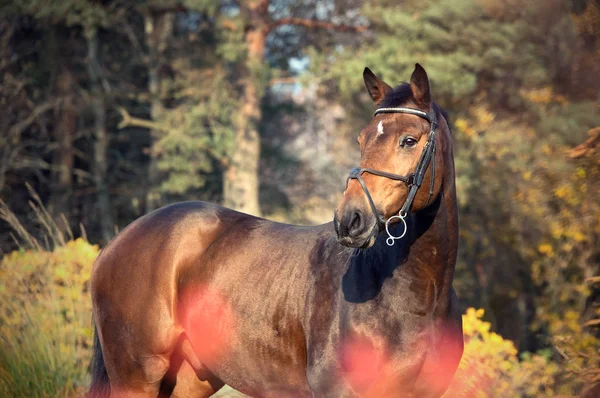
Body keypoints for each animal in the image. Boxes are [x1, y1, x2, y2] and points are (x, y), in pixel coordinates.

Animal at [88, 63, 464, 396]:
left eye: (409, 140)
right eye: (362, 140)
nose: (349, 219)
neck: (414, 298)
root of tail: (114, 244)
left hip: (188, 380)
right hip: (136, 378)